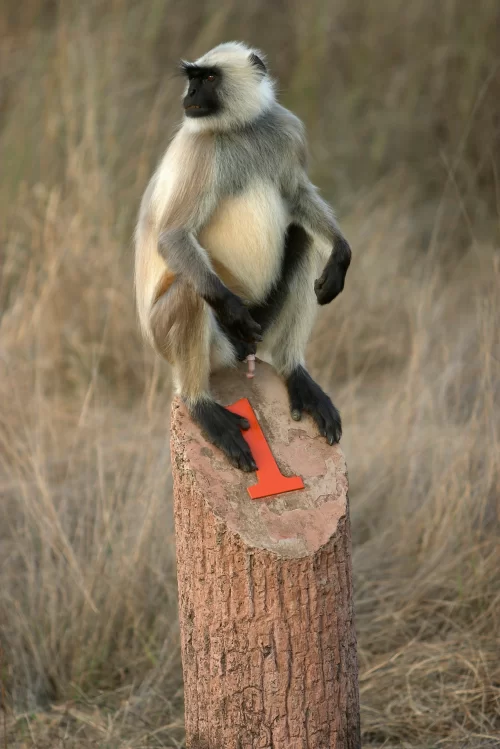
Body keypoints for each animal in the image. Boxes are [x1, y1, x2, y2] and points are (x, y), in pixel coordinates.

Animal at [134, 42, 351, 472]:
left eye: (208, 78)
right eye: (192, 78)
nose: (189, 95)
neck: (238, 129)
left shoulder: (284, 130)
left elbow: (297, 194)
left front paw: (341, 254)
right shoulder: (200, 150)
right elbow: (172, 236)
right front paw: (233, 310)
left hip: (262, 326)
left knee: (304, 238)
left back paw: (294, 370)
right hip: (196, 343)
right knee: (190, 289)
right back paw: (201, 405)